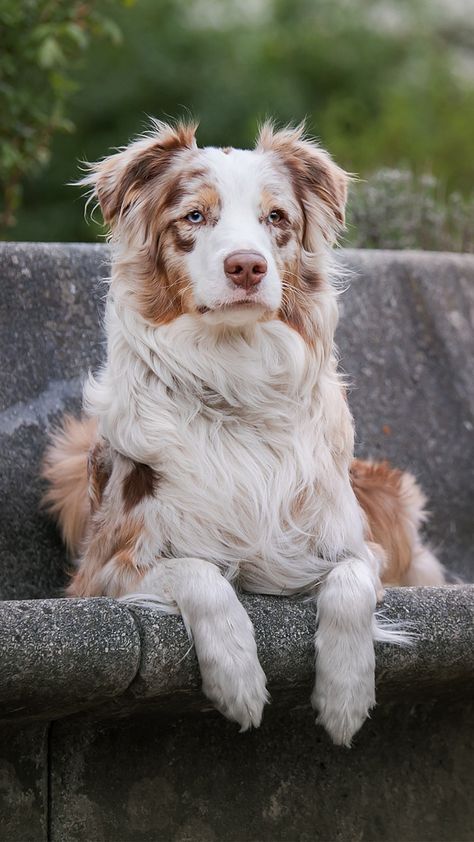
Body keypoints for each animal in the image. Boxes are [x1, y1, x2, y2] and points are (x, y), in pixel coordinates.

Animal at [42, 118, 446, 740]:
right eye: (194, 216)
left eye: (275, 217)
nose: (247, 266)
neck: (235, 380)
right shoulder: (101, 572)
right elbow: (201, 577)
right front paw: (237, 680)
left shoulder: (355, 545)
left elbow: (349, 584)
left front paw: (345, 696)